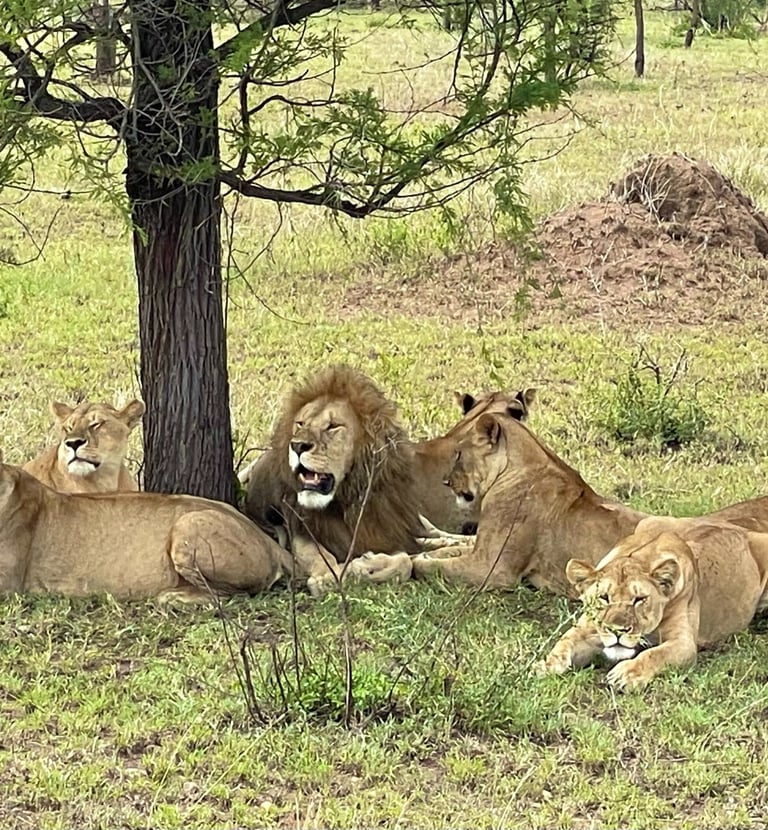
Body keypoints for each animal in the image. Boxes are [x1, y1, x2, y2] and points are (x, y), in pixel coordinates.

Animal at [539, 520, 768, 690]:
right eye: (604, 597)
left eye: (639, 599)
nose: (618, 631)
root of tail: (742, 529)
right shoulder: (588, 629)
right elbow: (565, 641)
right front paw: (547, 665)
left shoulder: (684, 643)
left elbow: (655, 654)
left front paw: (626, 674)